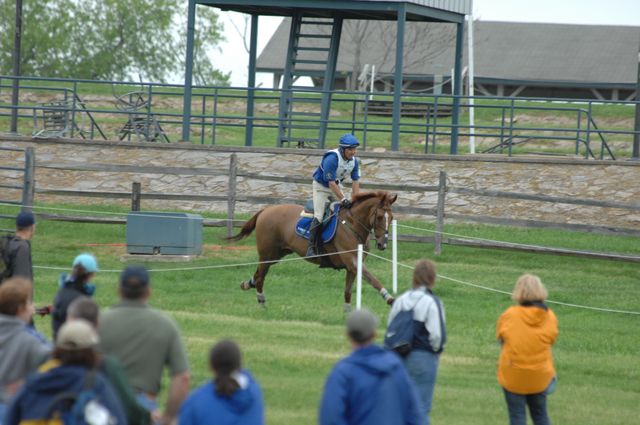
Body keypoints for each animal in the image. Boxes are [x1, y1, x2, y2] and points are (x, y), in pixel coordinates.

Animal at [224, 190, 396, 310]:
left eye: (392, 218)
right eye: (380, 217)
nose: (382, 244)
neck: (352, 224)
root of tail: (265, 210)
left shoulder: (352, 266)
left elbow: (348, 291)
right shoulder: (351, 261)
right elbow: (373, 279)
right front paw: (389, 298)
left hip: (277, 254)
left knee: (258, 274)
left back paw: (247, 285)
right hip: (267, 254)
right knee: (260, 276)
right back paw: (262, 303)